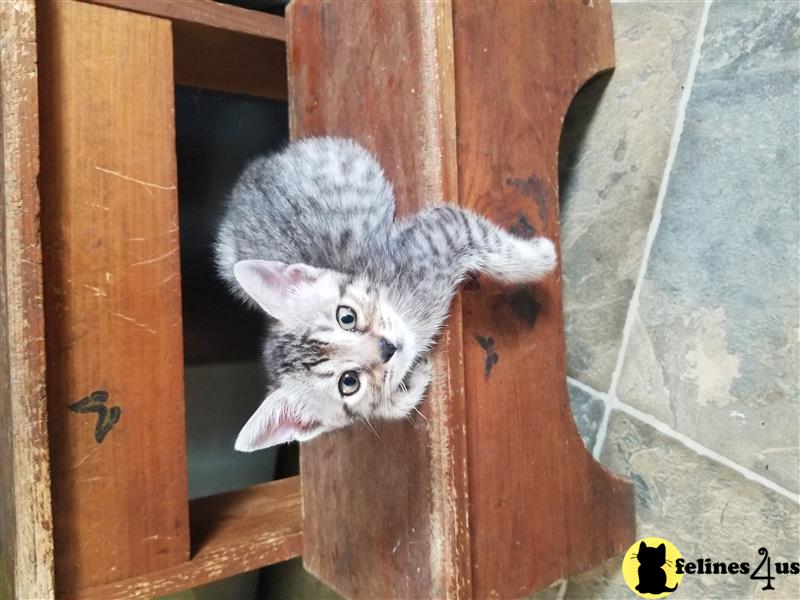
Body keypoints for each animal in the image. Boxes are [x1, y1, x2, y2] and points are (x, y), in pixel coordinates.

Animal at [217, 138, 556, 452]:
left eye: (346, 316)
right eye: (349, 382)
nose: (387, 348)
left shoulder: (442, 229)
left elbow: (491, 242)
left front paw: (541, 257)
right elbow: (388, 409)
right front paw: (409, 385)